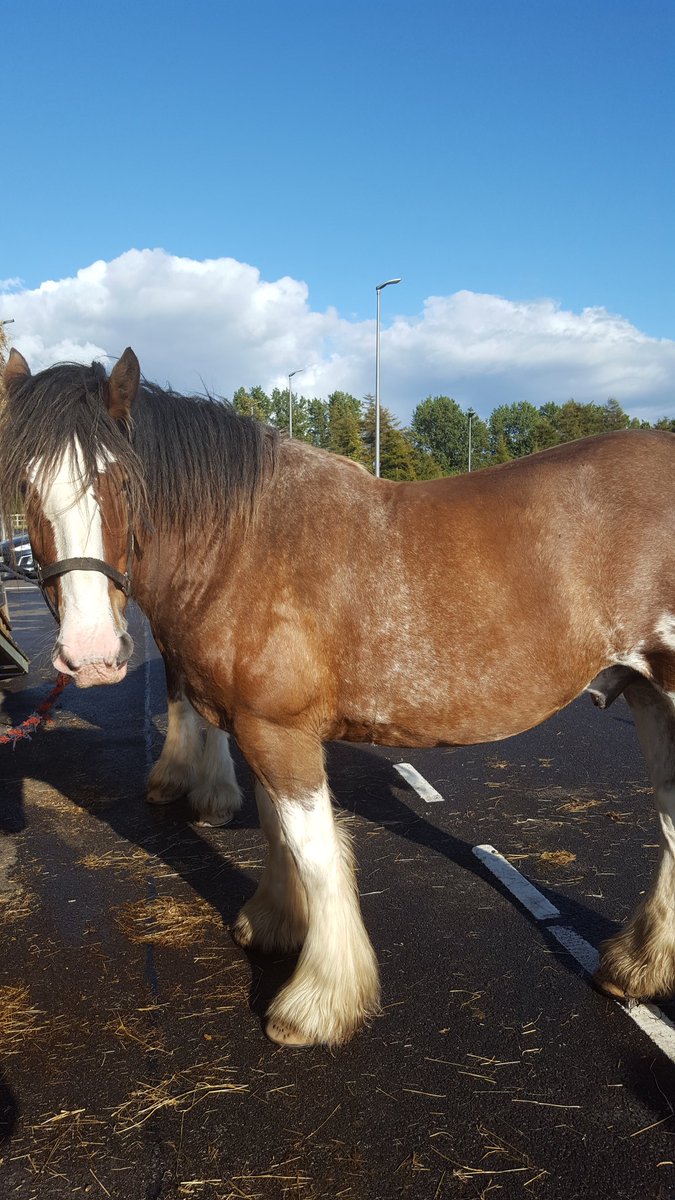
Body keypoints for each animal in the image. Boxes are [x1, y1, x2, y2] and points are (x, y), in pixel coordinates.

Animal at [3, 345, 675, 1048]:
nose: (92, 654)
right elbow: (277, 831)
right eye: (25, 485)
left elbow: (315, 852)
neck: (244, 545)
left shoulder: (278, 730)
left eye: (123, 482)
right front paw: (274, 925)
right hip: (649, 695)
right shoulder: (257, 727)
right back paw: (638, 965)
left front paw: (318, 1002)